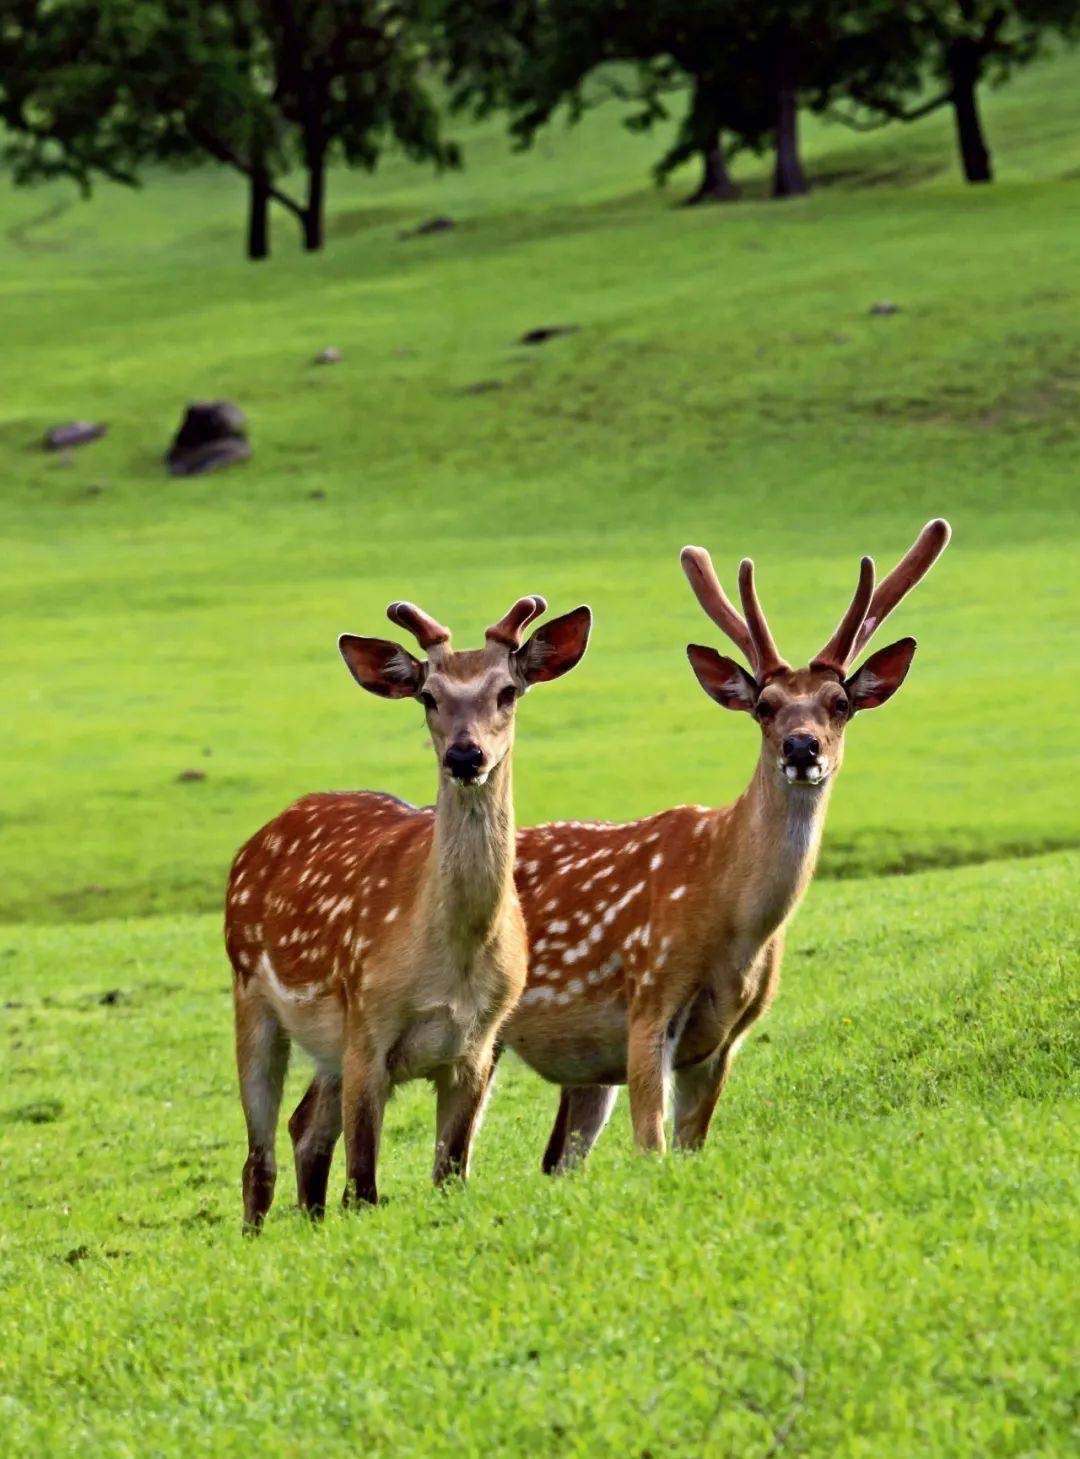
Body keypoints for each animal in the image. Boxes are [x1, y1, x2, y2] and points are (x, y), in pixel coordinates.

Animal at [226, 589, 589, 1219]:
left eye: (507, 690)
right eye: (428, 695)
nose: (466, 756)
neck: (452, 963)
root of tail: (253, 844)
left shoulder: (478, 1046)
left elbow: (450, 1173)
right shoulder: (367, 1024)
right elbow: (363, 1189)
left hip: (329, 1045)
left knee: (306, 1127)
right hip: (253, 992)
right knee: (259, 1158)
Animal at [502, 519, 951, 1167]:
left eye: (841, 703)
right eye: (763, 706)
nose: (801, 746)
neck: (731, 922)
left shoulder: (726, 1037)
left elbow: (692, 1144)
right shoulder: (648, 995)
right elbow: (652, 1146)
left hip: (583, 1072)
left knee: (558, 1160)